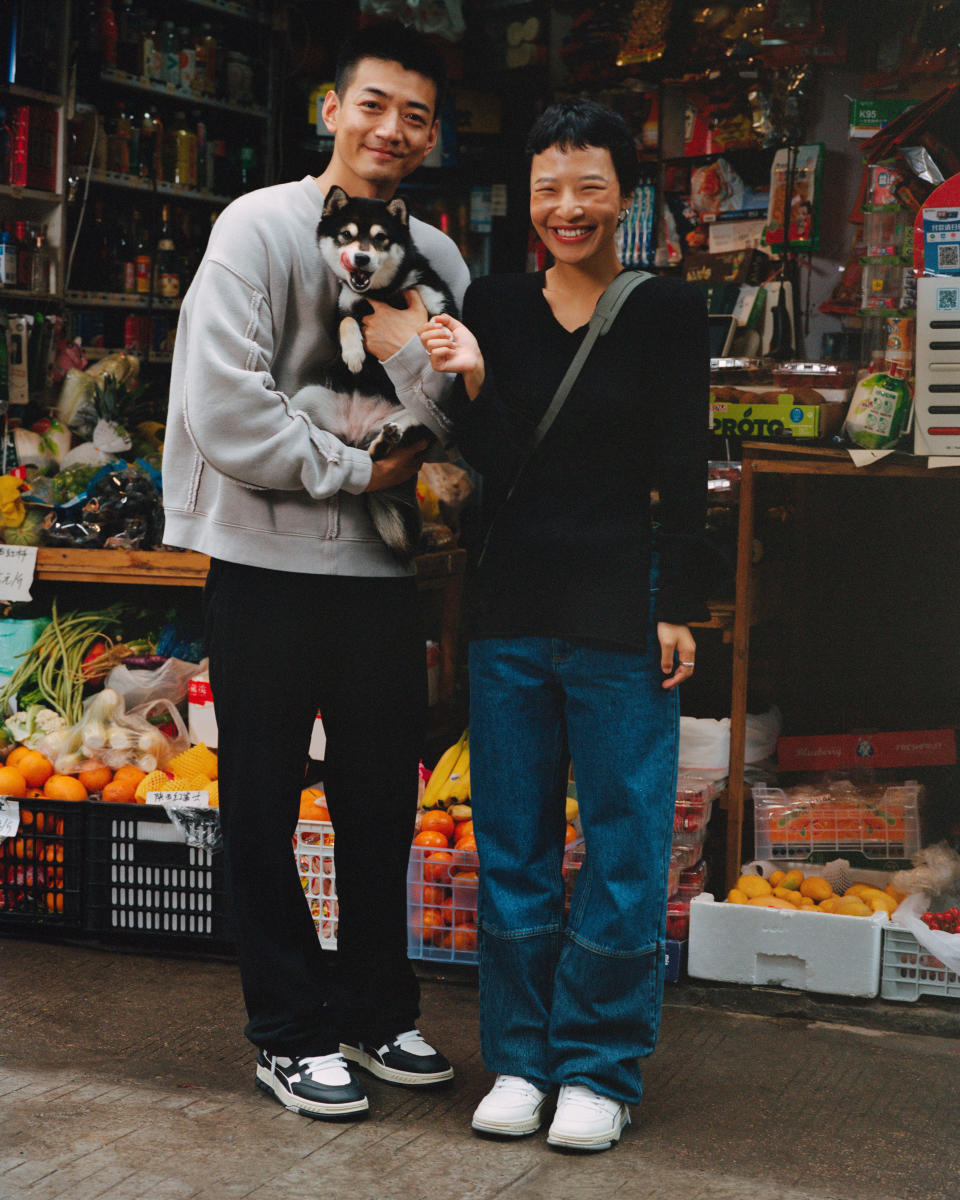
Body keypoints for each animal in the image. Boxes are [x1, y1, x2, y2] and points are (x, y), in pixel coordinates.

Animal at [292, 187, 458, 561]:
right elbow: (348, 323)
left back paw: (390, 438)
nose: (361, 258)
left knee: (414, 428)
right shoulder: (346, 305)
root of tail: (357, 436)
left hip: (424, 419)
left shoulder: (437, 302)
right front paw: (354, 355)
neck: (381, 293)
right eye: (347, 235)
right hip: (310, 397)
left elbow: (435, 326)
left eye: (380, 238)